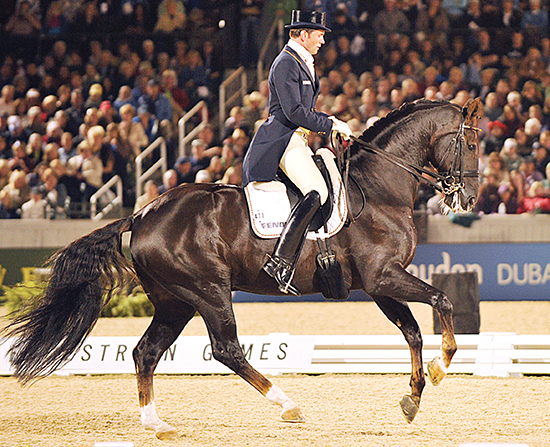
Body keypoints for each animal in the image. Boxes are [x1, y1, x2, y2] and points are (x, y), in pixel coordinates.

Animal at [1, 99, 484, 440]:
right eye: (473, 144)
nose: (469, 199)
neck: (377, 188)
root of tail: (140, 214)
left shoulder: (379, 284)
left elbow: (412, 332)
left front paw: (413, 396)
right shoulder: (383, 276)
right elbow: (441, 301)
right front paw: (442, 366)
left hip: (174, 301)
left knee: (146, 352)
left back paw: (157, 424)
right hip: (209, 291)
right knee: (226, 348)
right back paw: (288, 405)